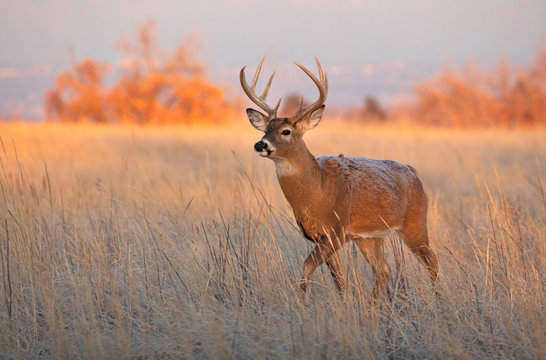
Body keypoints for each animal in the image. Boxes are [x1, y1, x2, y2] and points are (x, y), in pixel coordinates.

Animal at [238, 56, 438, 298]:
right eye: (265, 129)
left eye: (286, 131)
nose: (260, 144)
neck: (318, 191)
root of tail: (413, 173)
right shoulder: (320, 235)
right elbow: (339, 280)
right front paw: (344, 302)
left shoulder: (337, 230)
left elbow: (307, 266)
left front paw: (301, 300)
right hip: (369, 237)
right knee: (383, 271)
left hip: (414, 222)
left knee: (432, 261)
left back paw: (438, 299)